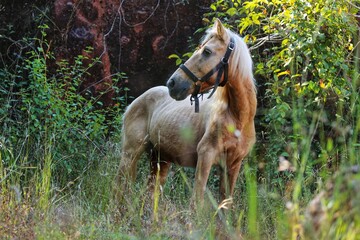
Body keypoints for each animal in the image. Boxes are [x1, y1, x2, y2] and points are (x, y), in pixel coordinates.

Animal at [117, 18, 256, 203]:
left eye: (207, 51)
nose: (173, 83)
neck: (238, 119)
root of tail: (133, 104)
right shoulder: (205, 157)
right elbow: (196, 200)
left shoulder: (233, 165)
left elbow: (225, 204)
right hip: (130, 154)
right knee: (119, 189)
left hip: (160, 160)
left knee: (150, 194)